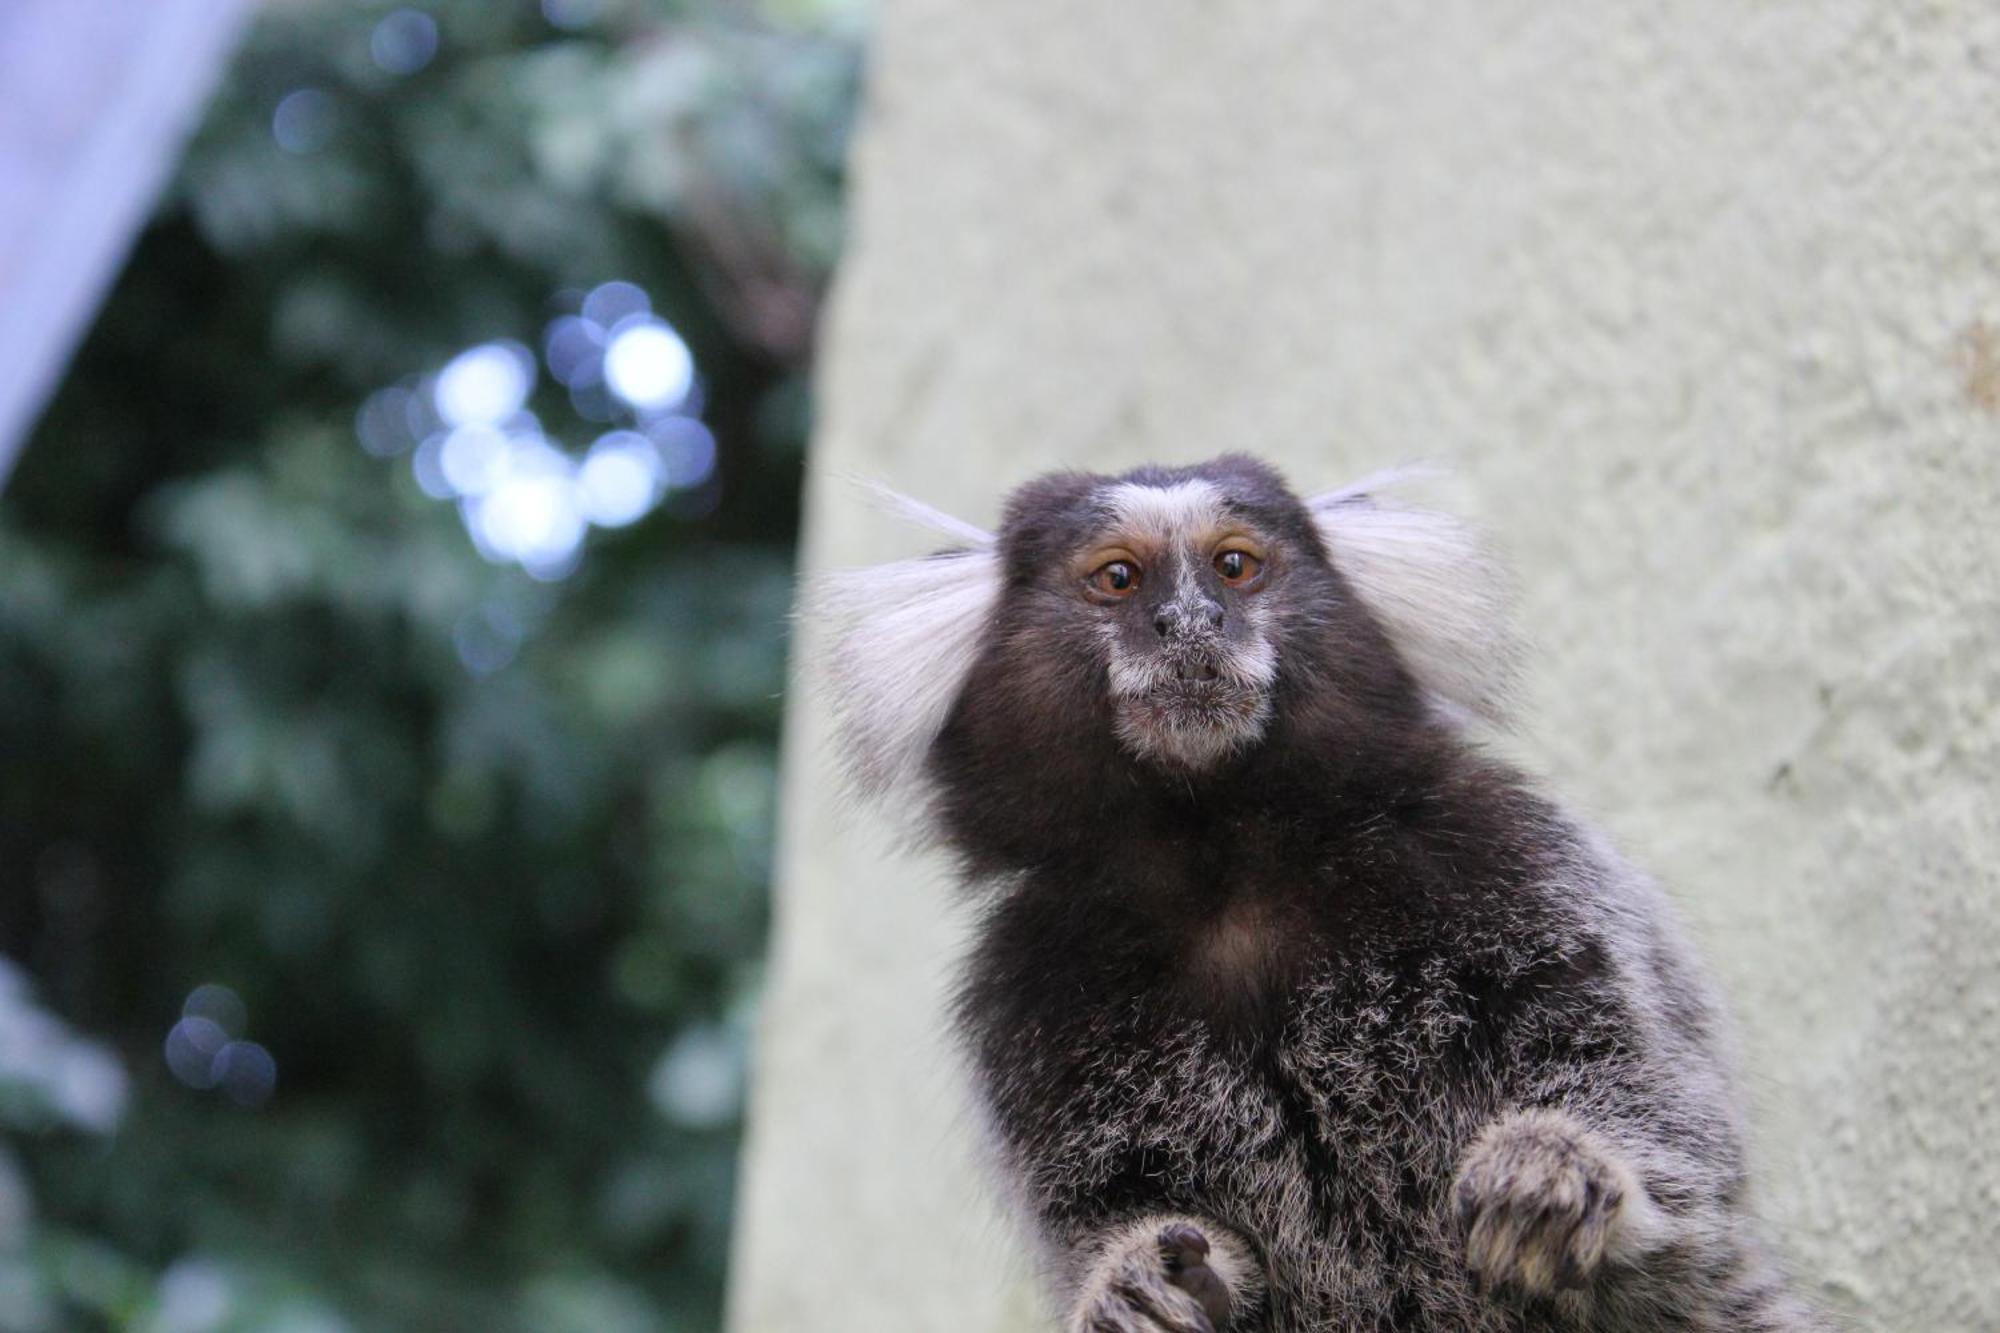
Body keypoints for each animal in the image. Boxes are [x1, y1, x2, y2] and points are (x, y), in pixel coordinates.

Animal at [812, 452, 1832, 1320]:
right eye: (1119, 579)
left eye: (1234, 566)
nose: (1194, 625)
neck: (1223, 864)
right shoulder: (1028, 1001)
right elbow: (1098, 1210)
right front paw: (1132, 1283)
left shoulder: (1508, 857)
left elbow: (1659, 1108)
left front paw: (1560, 1173)